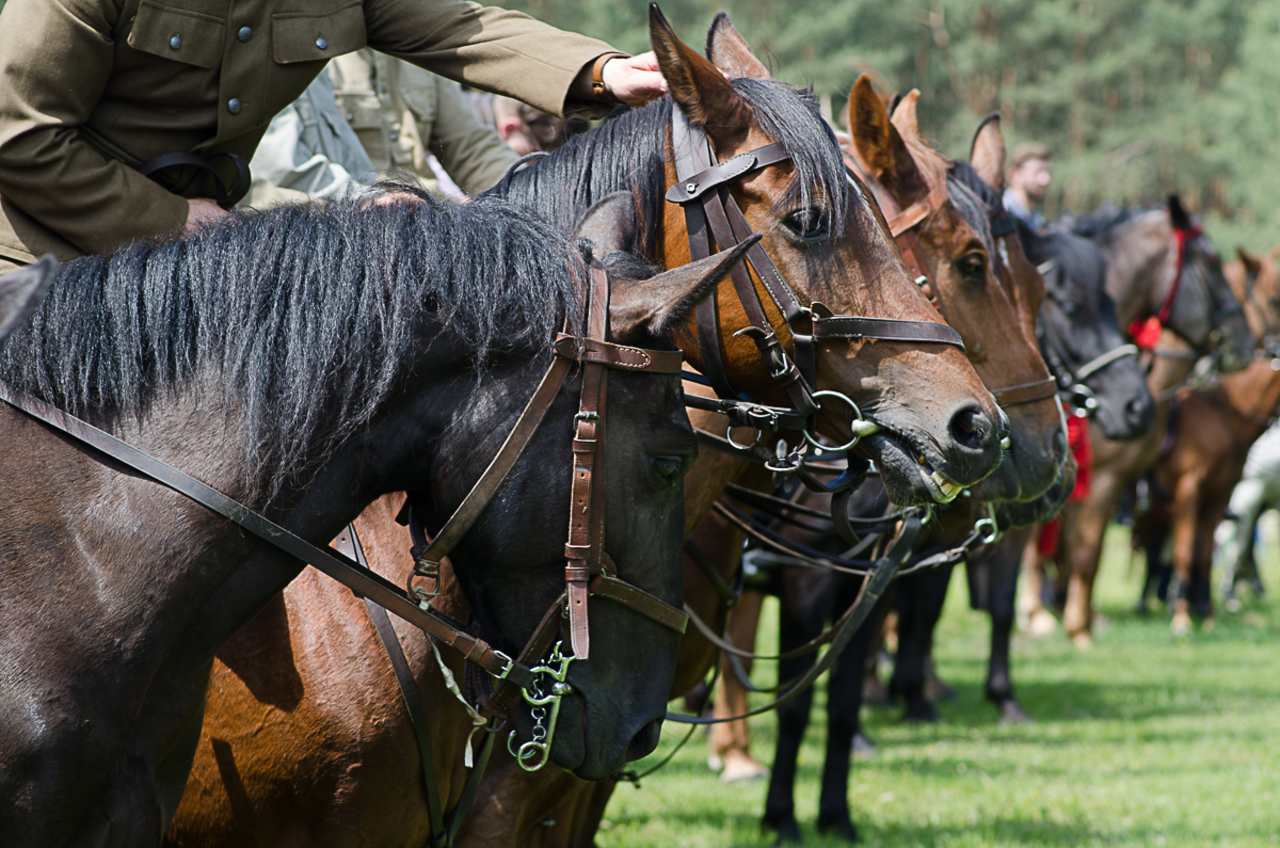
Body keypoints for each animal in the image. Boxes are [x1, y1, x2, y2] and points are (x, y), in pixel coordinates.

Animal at [1024, 199, 1254, 648]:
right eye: (1212, 263)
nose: (1245, 341)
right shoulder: (1102, 478)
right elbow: (1078, 552)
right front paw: (1068, 625)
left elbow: (1080, 552)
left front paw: (1077, 619)